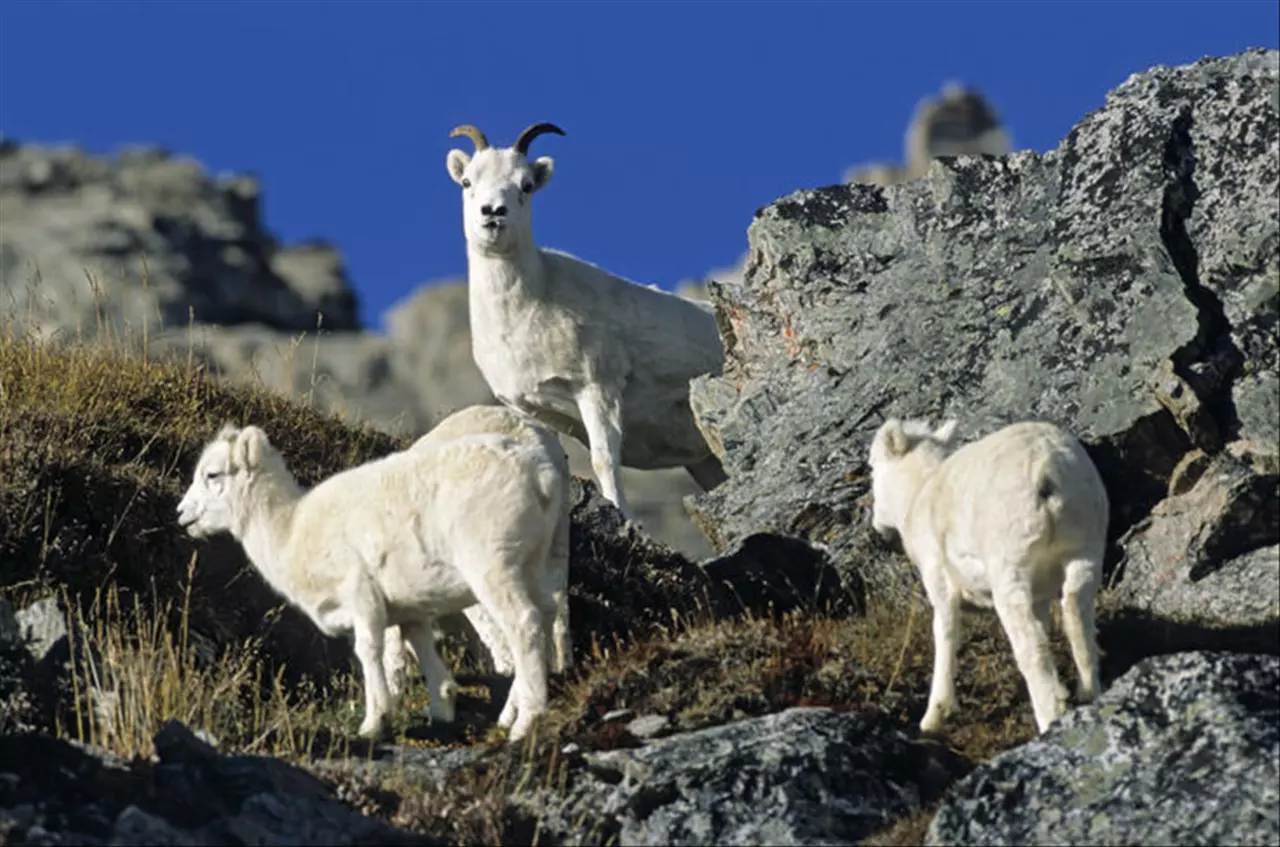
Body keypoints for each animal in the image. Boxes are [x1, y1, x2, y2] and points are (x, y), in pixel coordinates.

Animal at [175, 422, 565, 742]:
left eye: (212, 475)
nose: (181, 514)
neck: (289, 530)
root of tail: (541, 477)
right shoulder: (410, 613)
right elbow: (424, 654)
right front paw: (442, 713)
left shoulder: (362, 599)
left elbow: (368, 653)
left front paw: (374, 723)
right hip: (535, 568)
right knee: (545, 618)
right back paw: (511, 713)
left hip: (494, 570)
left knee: (524, 625)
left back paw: (525, 723)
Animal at [442, 123, 727, 524]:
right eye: (468, 181)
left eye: (525, 185)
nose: (493, 213)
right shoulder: (534, 410)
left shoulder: (596, 389)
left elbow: (604, 461)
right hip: (706, 462)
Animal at [870, 419, 1111, 736]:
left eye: (873, 468)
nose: (877, 527)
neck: (919, 492)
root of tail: (1047, 469)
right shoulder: (1040, 596)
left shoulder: (940, 586)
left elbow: (945, 637)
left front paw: (933, 717)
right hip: (1085, 553)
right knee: (1077, 619)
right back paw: (1087, 695)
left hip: (1010, 572)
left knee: (1032, 646)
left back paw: (1048, 718)